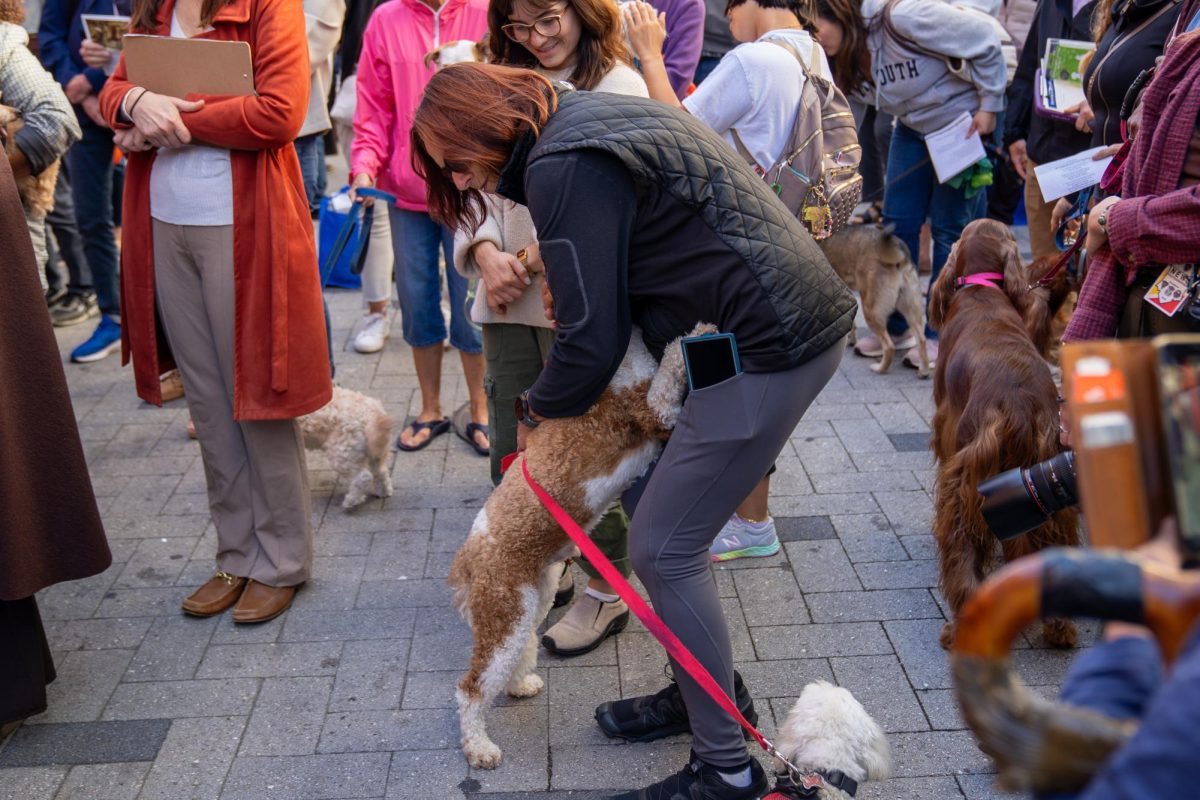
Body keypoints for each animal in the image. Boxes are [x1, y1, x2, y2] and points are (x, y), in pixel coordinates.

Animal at [451, 323, 710, 767]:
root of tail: (469, 557)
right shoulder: (653, 413)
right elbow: (669, 370)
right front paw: (696, 333)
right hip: (503, 613)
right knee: (470, 689)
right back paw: (480, 748)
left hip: (530, 602)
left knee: (518, 651)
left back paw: (520, 685)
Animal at [926, 219, 1080, 652]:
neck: (982, 288)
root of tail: (1018, 409)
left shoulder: (946, 430)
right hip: (1050, 482)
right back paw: (1060, 628)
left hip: (962, 484)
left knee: (962, 553)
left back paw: (958, 627)